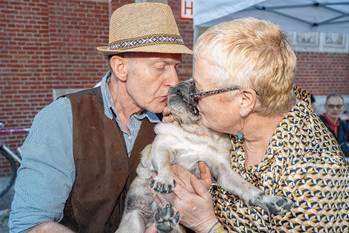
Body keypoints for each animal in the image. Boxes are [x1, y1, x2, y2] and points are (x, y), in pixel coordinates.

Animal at [115, 80, 292, 233]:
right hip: (134, 221)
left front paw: (268, 200)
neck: (198, 133)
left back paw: (166, 222)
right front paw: (165, 180)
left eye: (195, 86)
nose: (177, 85)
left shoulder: (224, 172)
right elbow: (165, 165)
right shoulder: (162, 147)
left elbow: (246, 187)